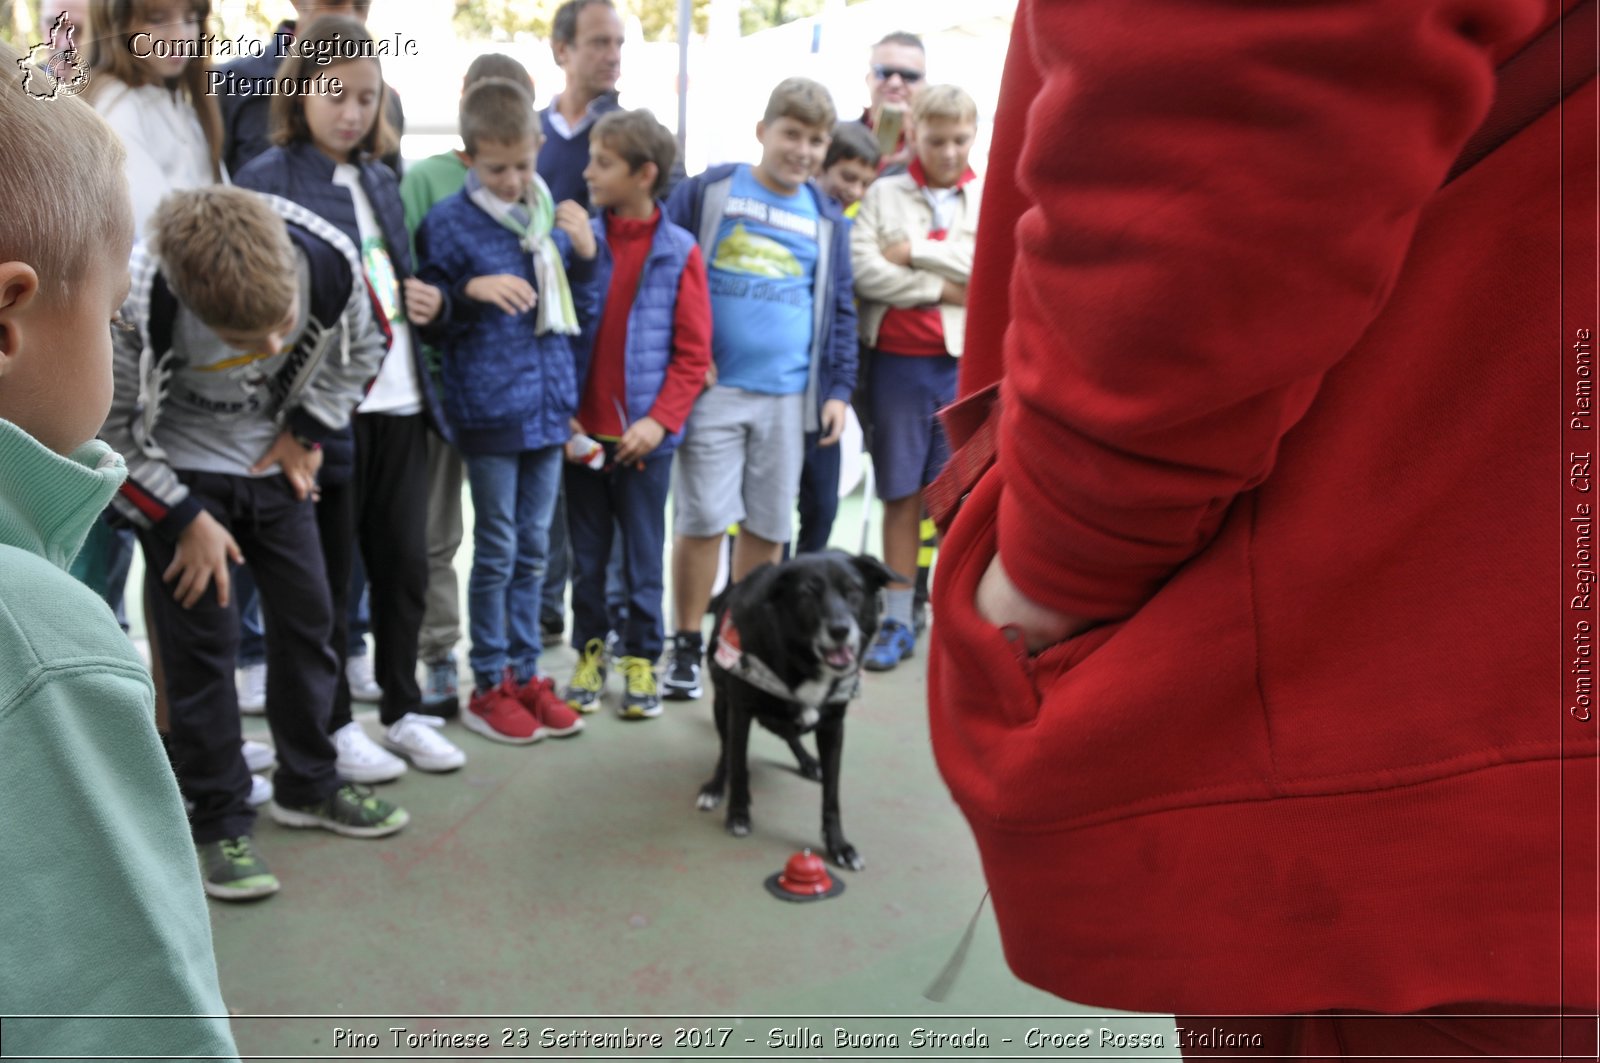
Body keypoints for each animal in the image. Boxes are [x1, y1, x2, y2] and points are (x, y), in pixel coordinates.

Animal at [694, 550, 908, 870]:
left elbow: (832, 793)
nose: (840, 630)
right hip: (722, 703)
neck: (802, 659)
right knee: (726, 750)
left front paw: (839, 845)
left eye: (853, 590)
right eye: (808, 593)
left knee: (789, 732)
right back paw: (715, 786)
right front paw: (738, 815)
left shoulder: (834, 727)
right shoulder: (740, 711)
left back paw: (808, 762)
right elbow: (739, 765)